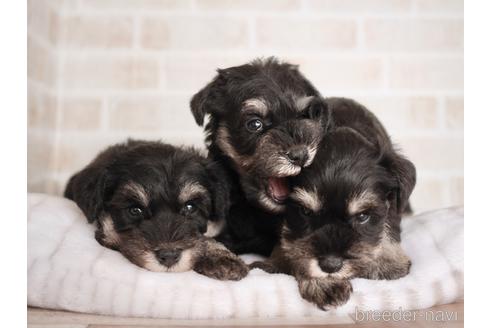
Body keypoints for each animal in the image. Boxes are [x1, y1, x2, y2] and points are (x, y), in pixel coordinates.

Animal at [252, 98, 418, 308]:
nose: (330, 266)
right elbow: (293, 246)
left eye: (362, 216)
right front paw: (322, 283)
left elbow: (389, 227)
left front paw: (387, 261)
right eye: (305, 212)